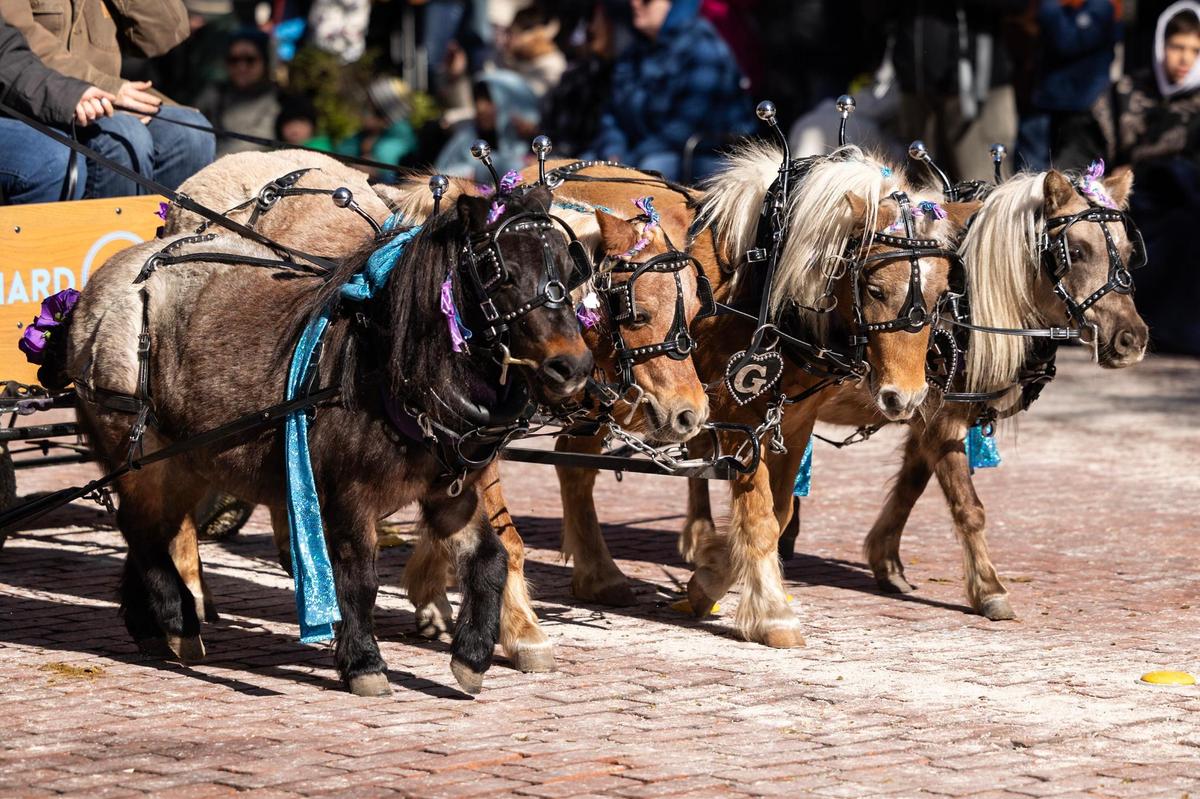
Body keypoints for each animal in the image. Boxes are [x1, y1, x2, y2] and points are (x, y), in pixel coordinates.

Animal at [60, 185, 594, 695]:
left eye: (571, 269)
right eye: (500, 272)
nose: (573, 366)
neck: (388, 368)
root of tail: (102, 285)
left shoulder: (449, 490)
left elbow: (489, 560)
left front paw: (472, 656)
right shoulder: (347, 494)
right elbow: (357, 579)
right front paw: (364, 663)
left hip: (188, 458)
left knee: (150, 529)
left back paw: (148, 625)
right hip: (141, 449)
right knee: (144, 530)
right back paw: (177, 621)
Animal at [735, 166, 1149, 621]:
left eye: (1128, 250)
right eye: (1075, 250)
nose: (1132, 339)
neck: (964, 307)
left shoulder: (923, 413)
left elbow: (911, 487)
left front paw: (886, 562)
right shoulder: (941, 419)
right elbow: (968, 506)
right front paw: (989, 588)